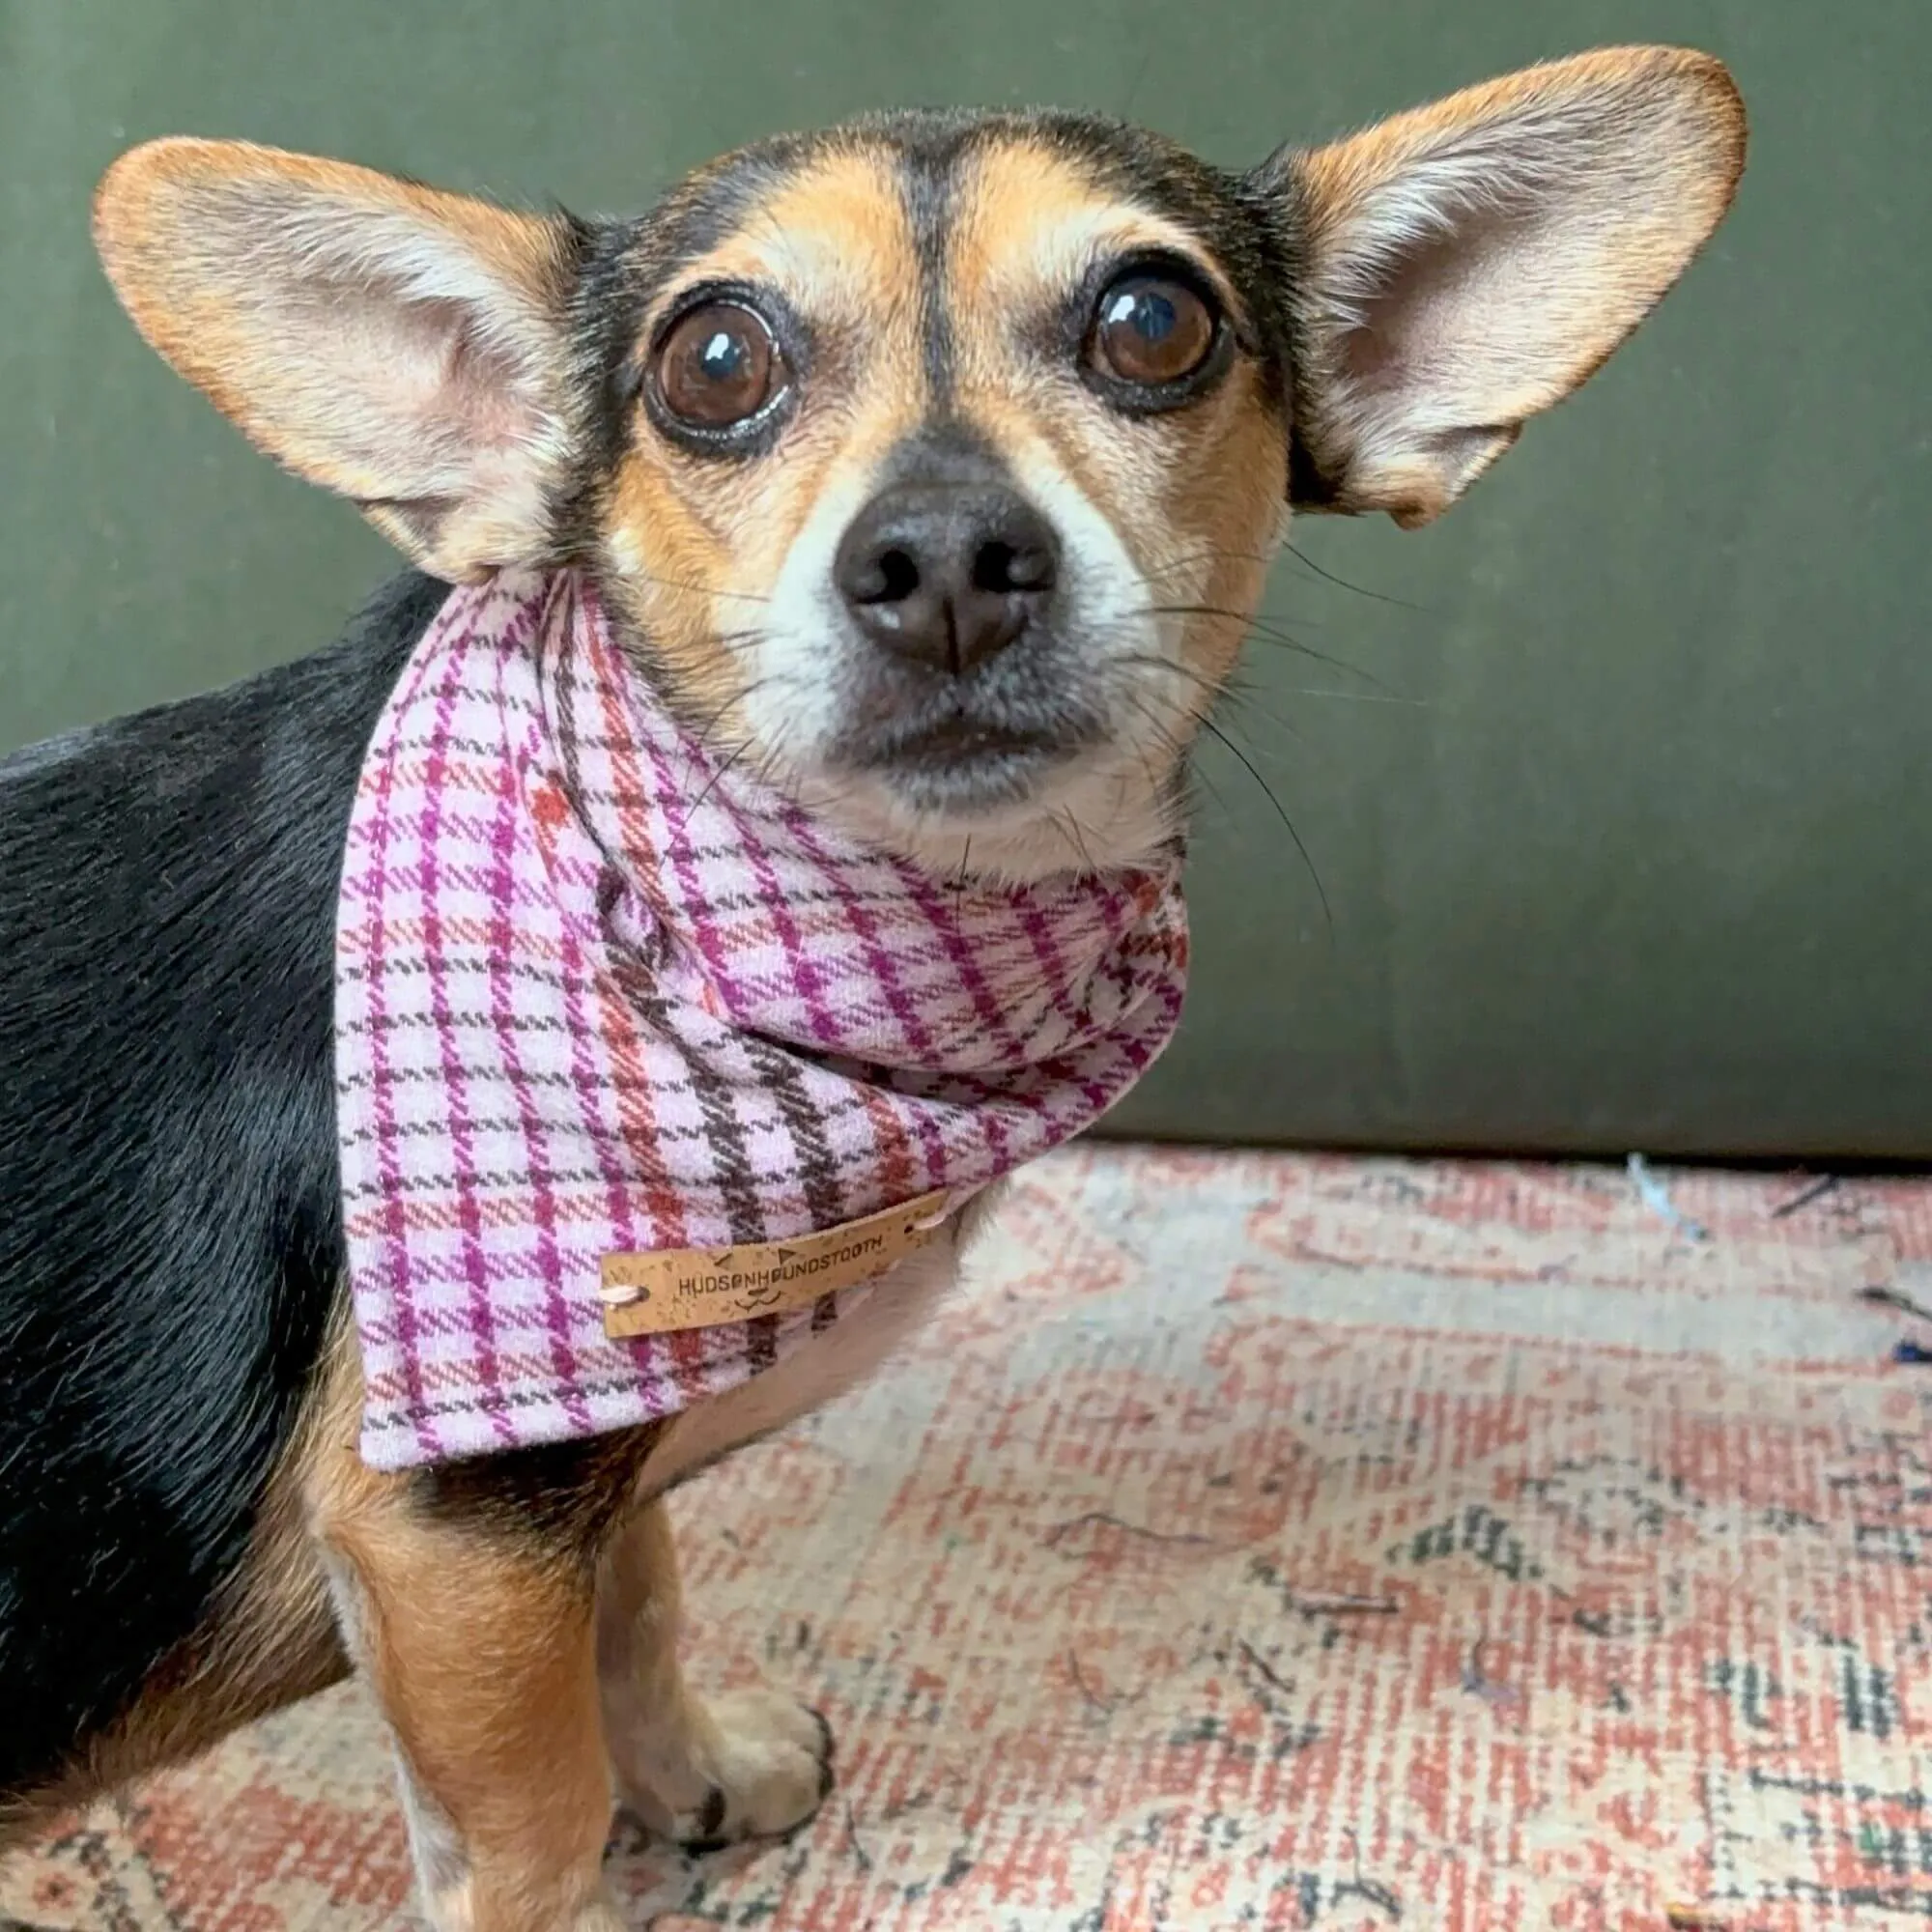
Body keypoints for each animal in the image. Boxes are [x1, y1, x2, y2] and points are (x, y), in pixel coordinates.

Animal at [0, 52, 1747, 1932]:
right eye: (712, 362)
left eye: (1155, 322)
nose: (947, 552)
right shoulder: (453, 1539)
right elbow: (537, 1830)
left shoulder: (602, 1447)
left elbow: (644, 1588)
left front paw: (695, 1764)